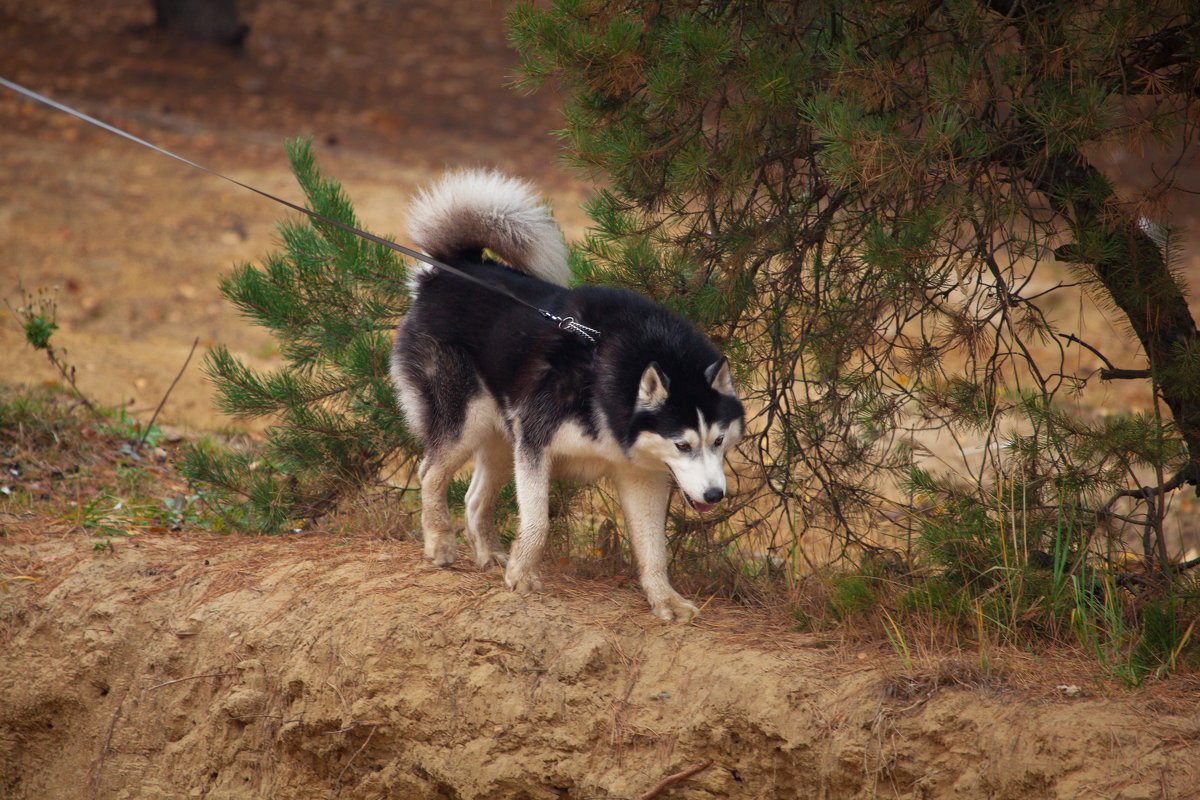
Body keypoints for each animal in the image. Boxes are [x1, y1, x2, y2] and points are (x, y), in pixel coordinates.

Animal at [393, 170, 739, 618]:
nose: (715, 495)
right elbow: (537, 521)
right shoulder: (536, 445)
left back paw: (489, 554)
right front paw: (523, 577)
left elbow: (653, 548)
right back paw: (440, 541)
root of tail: (451, 269)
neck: (609, 373)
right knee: (430, 473)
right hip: (467, 422)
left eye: (718, 441)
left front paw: (665, 599)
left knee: (474, 498)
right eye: (682, 445)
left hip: (503, 437)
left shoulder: (640, 475)